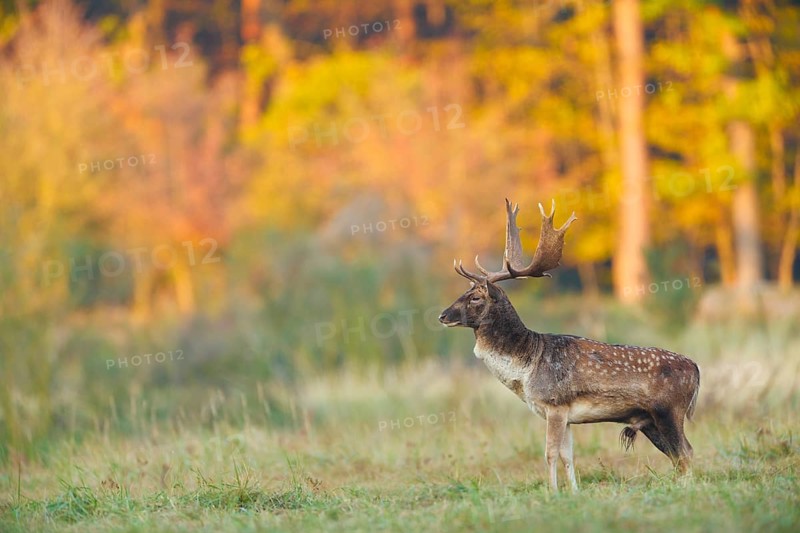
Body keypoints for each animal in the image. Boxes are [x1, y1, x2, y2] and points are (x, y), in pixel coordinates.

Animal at [439, 199, 700, 492]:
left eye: (475, 297)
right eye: (465, 292)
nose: (442, 316)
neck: (526, 367)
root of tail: (696, 369)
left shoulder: (555, 404)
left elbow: (550, 453)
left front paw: (552, 492)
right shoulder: (566, 416)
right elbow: (568, 455)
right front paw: (574, 491)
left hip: (669, 411)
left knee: (686, 452)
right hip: (650, 422)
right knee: (678, 456)